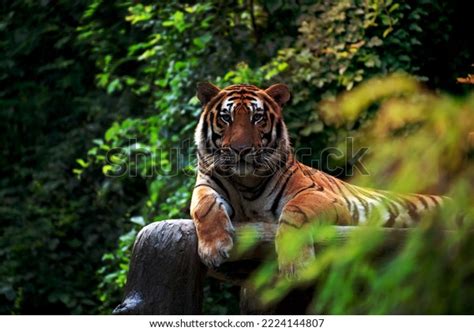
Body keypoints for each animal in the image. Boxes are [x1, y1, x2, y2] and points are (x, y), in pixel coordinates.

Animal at [190, 81, 444, 276]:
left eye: (257, 117)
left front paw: (296, 266)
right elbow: (204, 206)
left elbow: (294, 211)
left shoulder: (322, 196)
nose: (241, 149)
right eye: (226, 118)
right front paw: (214, 249)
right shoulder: (205, 185)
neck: (246, 182)